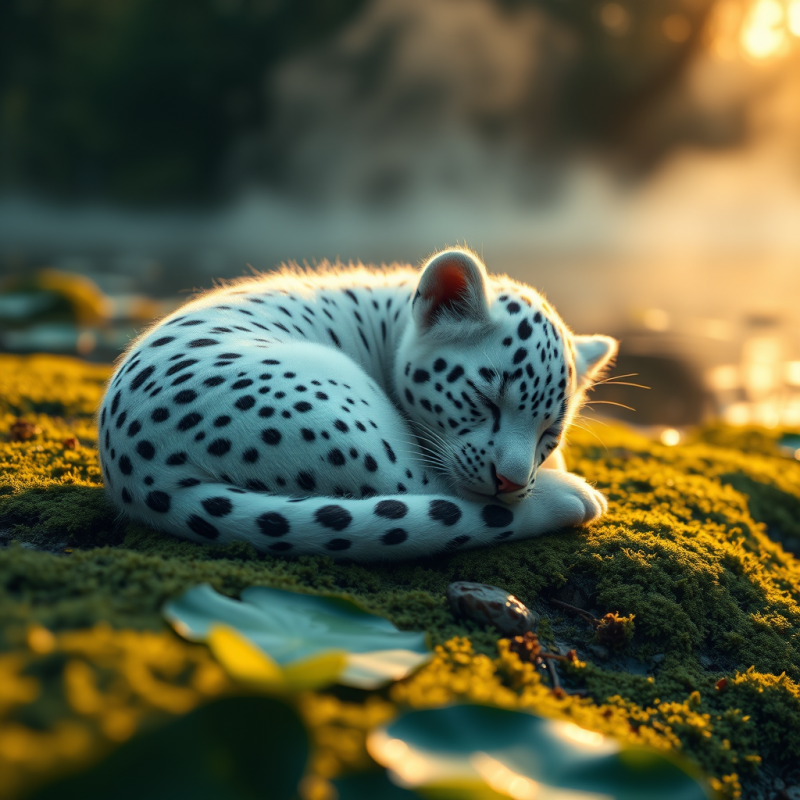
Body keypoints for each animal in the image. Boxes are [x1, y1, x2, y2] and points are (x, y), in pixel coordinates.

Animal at [98, 248, 616, 561]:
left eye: (550, 434)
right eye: (484, 399)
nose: (511, 481)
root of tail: (143, 476)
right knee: (437, 499)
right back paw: (573, 495)